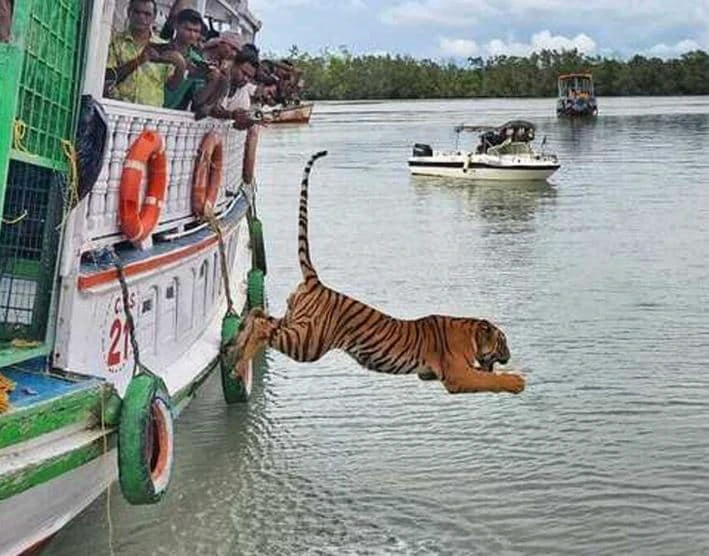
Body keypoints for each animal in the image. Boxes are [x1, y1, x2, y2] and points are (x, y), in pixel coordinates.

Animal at [231, 151, 525, 395]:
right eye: (503, 342)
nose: (510, 356)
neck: (470, 333)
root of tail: (316, 282)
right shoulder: (456, 375)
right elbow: (488, 379)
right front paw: (517, 381)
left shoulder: (432, 374)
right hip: (308, 342)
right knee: (263, 327)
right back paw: (237, 359)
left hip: (296, 321)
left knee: (257, 314)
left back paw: (234, 350)